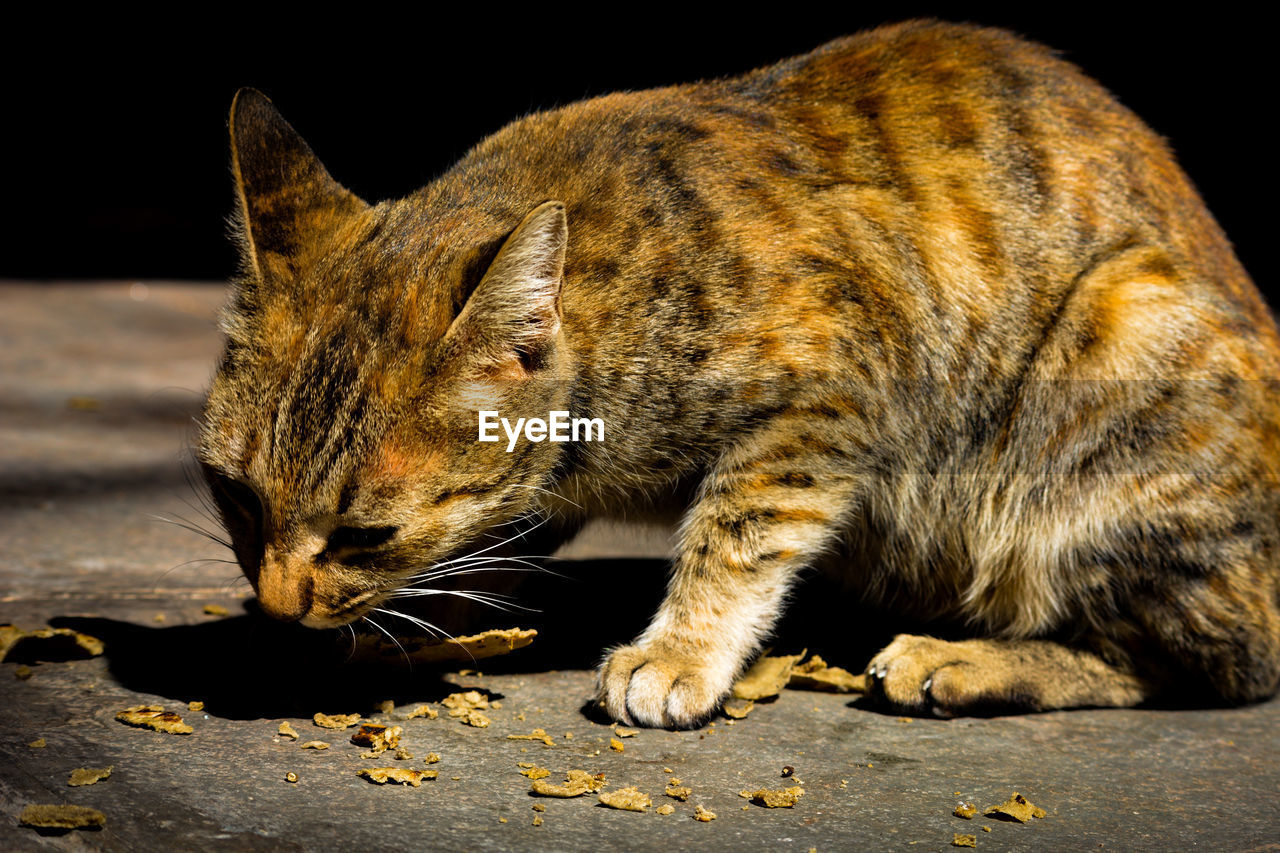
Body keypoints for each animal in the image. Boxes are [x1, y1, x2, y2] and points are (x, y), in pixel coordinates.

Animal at [197, 19, 1280, 722]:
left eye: (364, 533)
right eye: (238, 498)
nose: (280, 603)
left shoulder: (835, 393)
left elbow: (738, 532)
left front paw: (677, 648)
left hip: (1116, 336)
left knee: (1221, 655)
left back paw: (966, 660)